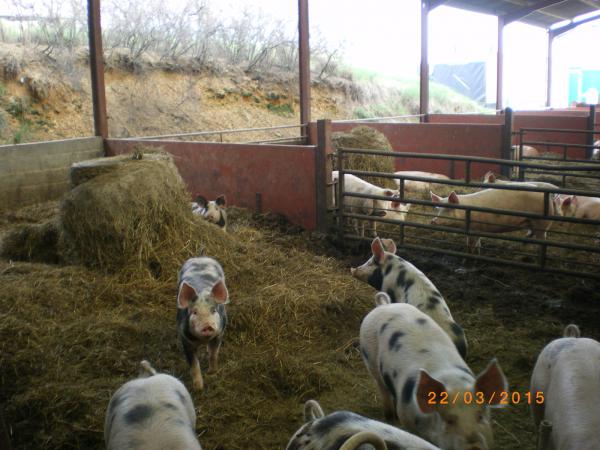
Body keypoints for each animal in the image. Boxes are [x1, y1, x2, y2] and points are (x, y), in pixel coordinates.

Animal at [177, 256, 229, 390]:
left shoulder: (219, 334)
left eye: (214, 310)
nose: (207, 326)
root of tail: (201, 257)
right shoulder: (185, 340)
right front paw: (198, 388)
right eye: (194, 312)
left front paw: (212, 373)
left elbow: (213, 354)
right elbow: (194, 364)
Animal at [360, 298, 506, 450]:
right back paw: (391, 417)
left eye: (480, 416)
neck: (454, 382)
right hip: (369, 356)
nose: (474, 447)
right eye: (449, 420)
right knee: (382, 387)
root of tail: (385, 305)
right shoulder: (407, 415)